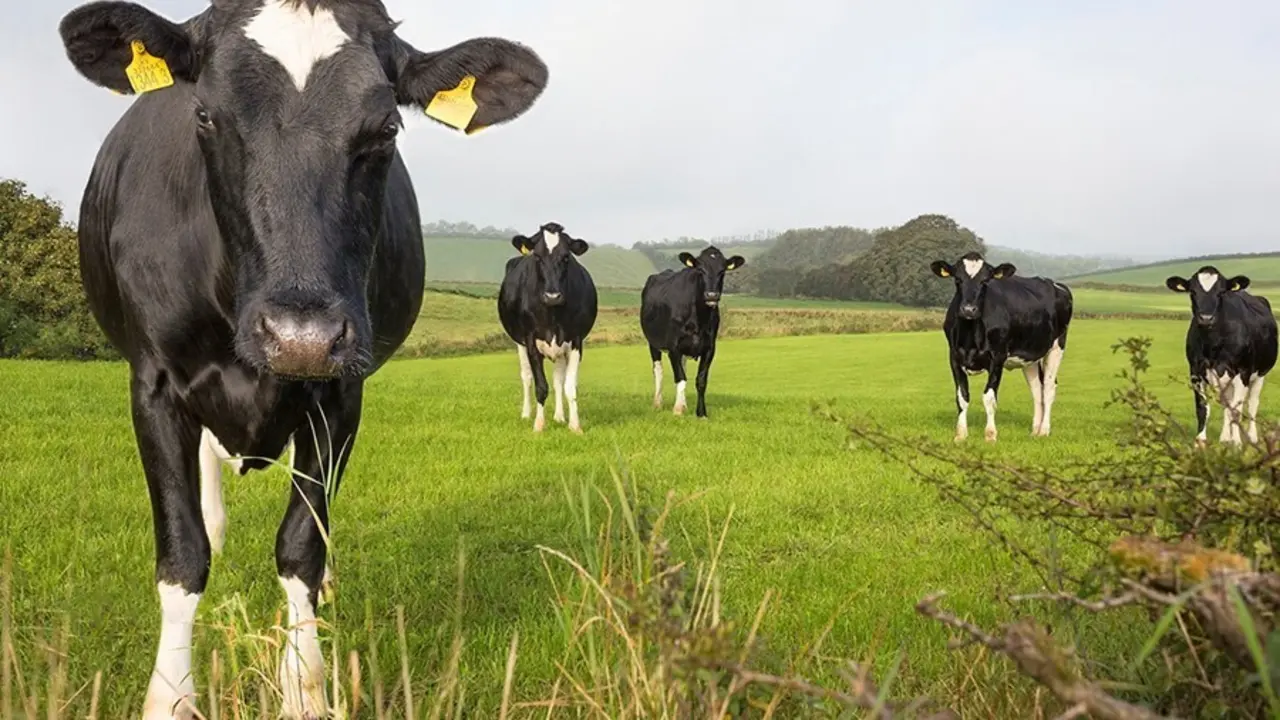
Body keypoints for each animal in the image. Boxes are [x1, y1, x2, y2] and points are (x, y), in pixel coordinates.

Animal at [56, 1, 547, 716]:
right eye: (204, 115)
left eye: (387, 127)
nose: (300, 336)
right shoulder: (153, 384)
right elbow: (183, 553)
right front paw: (170, 695)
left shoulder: (340, 393)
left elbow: (301, 545)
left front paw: (304, 687)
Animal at [497, 222, 598, 434]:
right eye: (537, 256)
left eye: (566, 257)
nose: (553, 296)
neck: (552, 313)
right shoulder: (530, 341)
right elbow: (541, 386)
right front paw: (538, 425)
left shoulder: (576, 341)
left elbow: (569, 386)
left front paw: (575, 425)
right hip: (519, 343)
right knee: (526, 377)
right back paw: (526, 414)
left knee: (558, 380)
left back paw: (559, 416)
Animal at [640, 246, 746, 418]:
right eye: (700, 270)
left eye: (722, 271)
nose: (711, 295)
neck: (699, 318)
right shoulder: (673, 346)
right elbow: (680, 378)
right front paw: (677, 410)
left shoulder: (709, 348)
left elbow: (701, 380)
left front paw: (700, 413)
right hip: (653, 342)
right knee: (658, 370)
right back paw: (657, 403)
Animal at [930, 252, 1073, 443]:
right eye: (958, 279)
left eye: (985, 281)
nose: (968, 309)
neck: (970, 335)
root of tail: (1055, 284)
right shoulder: (954, 357)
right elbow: (962, 397)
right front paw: (960, 435)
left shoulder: (997, 357)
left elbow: (989, 398)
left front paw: (990, 435)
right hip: (1029, 356)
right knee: (1037, 390)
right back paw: (1035, 430)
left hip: (1056, 347)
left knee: (1049, 388)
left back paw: (1044, 430)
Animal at [1165, 267, 1277, 445]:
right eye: (1193, 292)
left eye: (1221, 292)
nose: (1206, 318)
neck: (1213, 344)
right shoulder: (1195, 371)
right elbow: (1202, 407)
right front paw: (1200, 441)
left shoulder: (1243, 372)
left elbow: (1237, 410)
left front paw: (1237, 443)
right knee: (1227, 404)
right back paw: (1225, 438)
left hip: (1260, 373)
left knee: (1252, 404)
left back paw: (1252, 437)